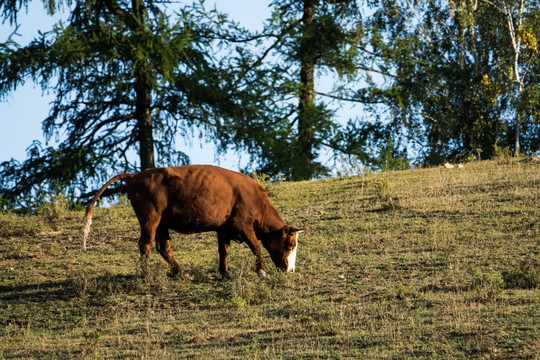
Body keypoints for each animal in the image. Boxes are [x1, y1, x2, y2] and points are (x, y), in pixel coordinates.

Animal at [83, 165, 304, 278]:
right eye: (291, 244)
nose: (291, 269)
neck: (253, 197)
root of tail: (134, 175)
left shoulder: (224, 228)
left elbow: (224, 250)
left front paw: (225, 273)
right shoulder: (243, 225)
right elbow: (256, 245)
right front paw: (262, 271)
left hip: (161, 223)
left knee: (163, 247)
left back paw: (182, 272)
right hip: (150, 218)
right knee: (145, 244)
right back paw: (146, 275)